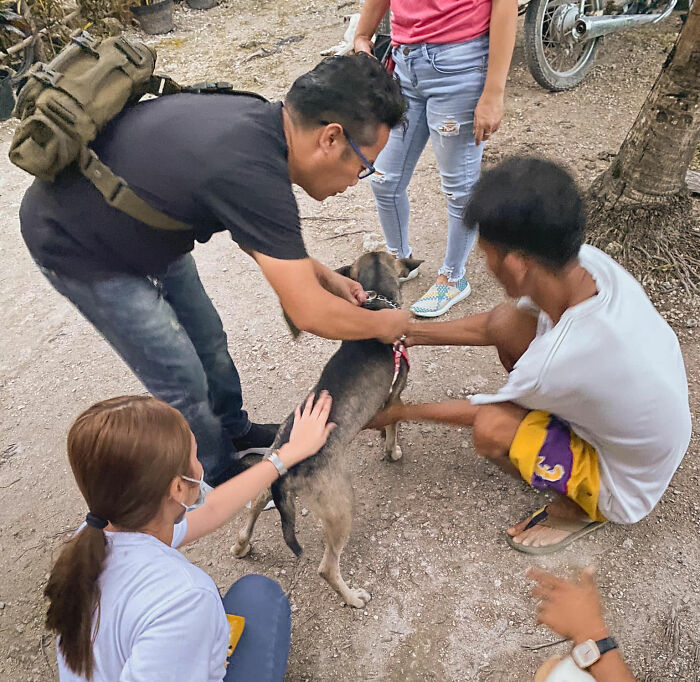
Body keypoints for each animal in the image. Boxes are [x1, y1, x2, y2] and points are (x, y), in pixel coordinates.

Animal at [234, 250, 422, 604]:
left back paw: (241, 545)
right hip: (340, 508)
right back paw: (353, 598)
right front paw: (392, 451)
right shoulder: (396, 396)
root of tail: (288, 466)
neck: (376, 303)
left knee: (252, 509)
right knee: (327, 567)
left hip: (268, 473)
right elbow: (393, 429)